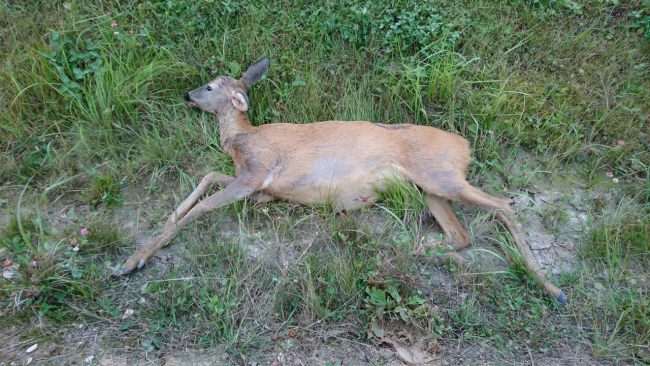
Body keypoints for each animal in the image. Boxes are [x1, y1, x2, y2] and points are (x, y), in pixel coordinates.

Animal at [115, 56, 560, 304]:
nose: (187, 95)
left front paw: (133, 261)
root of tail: (463, 144)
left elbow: (202, 207)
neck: (242, 139)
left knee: (502, 206)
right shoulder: (260, 188)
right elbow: (207, 176)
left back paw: (551, 288)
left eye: (209, 86)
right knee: (460, 236)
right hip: (430, 188)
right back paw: (413, 250)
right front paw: (166, 220)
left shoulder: (256, 174)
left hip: (441, 176)